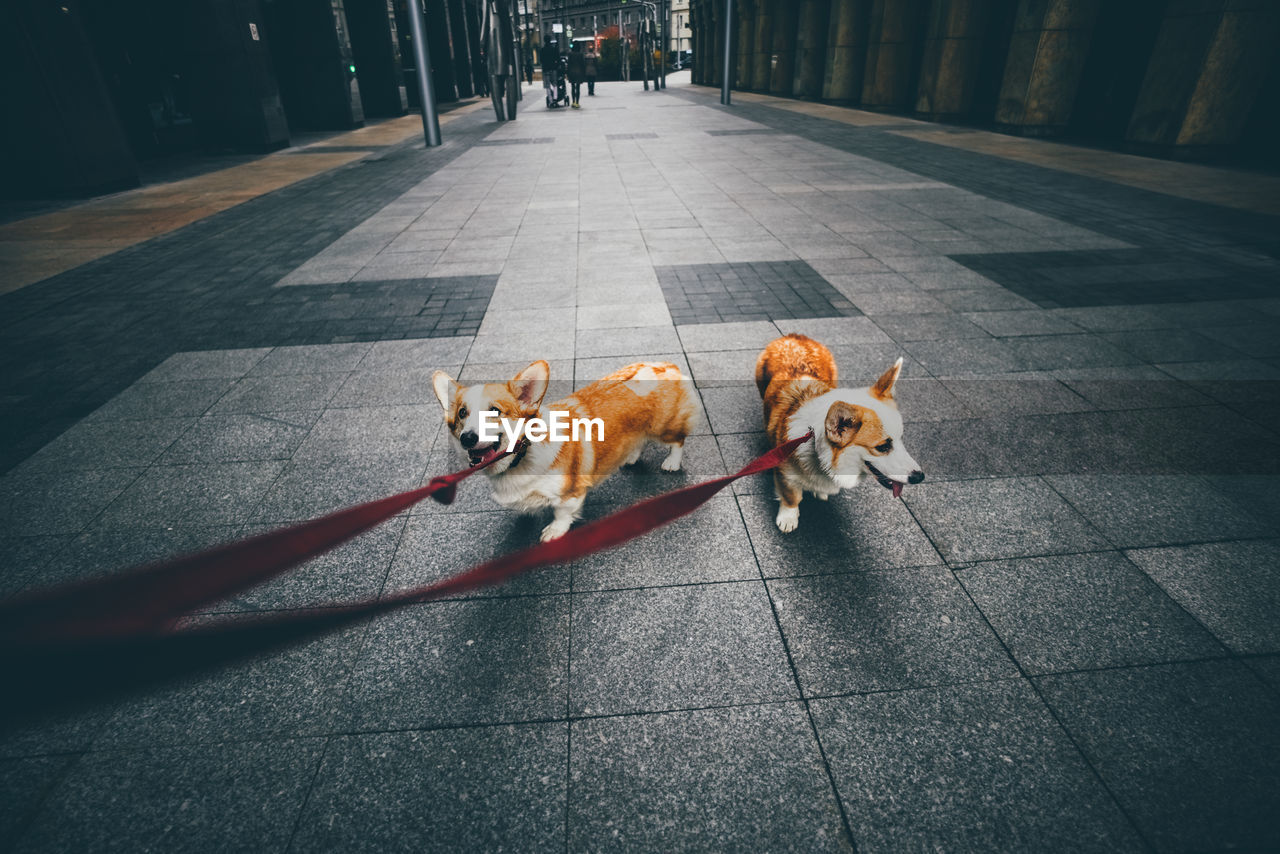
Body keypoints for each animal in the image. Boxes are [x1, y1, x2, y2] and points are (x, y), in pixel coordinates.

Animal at [430, 361, 696, 540]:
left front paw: (554, 532)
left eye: (495, 411)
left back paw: (672, 462)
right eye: (462, 413)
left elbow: (561, 512)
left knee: (678, 441)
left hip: (663, 427)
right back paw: (630, 457)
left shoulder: (571, 493)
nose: (467, 438)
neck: (523, 453)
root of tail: (665, 365)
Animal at [752, 338, 926, 530]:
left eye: (901, 438)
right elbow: (792, 497)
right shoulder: (785, 475)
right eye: (883, 447)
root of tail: (794, 337)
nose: (920, 477)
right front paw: (788, 519)